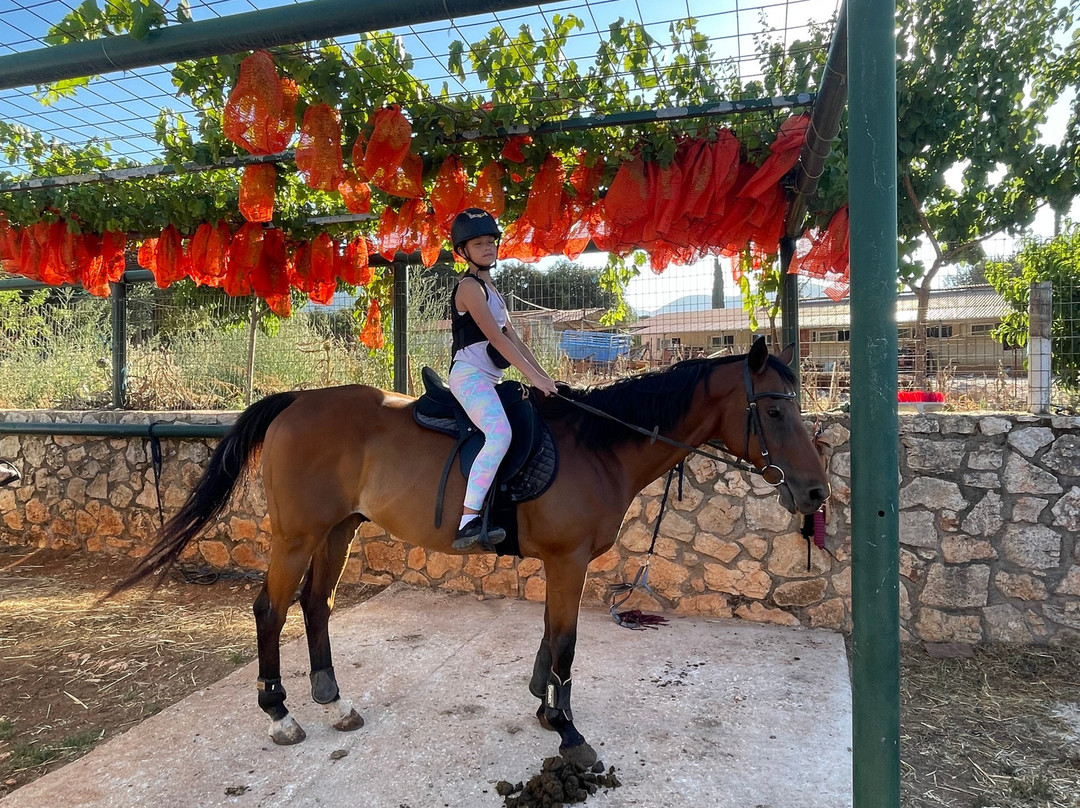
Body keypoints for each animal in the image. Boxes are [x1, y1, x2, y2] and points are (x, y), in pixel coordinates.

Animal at [111, 338, 828, 767]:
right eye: (775, 410)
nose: (816, 493)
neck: (599, 444)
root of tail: (295, 402)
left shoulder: (560, 565)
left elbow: (551, 639)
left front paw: (545, 708)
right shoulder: (567, 562)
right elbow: (565, 646)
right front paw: (569, 732)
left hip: (338, 529)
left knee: (316, 605)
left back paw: (333, 701)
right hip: (296, 535)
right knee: (270, 609)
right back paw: (280, 715)